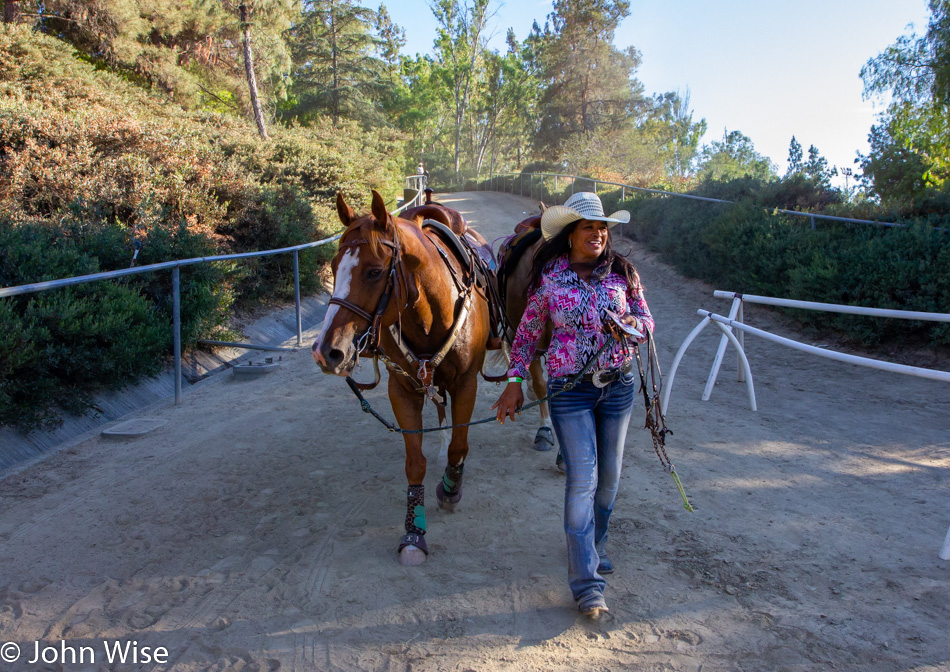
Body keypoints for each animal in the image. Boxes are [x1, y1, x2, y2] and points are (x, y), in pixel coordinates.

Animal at [314, 189, 494, 568]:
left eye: (373, 271)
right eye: (334, 268)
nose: (326, 351)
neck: (432, 314)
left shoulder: (466, 382)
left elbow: (459, 445)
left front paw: (450, 489)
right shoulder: (403, 389)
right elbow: (415, 463)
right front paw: (414, 532)